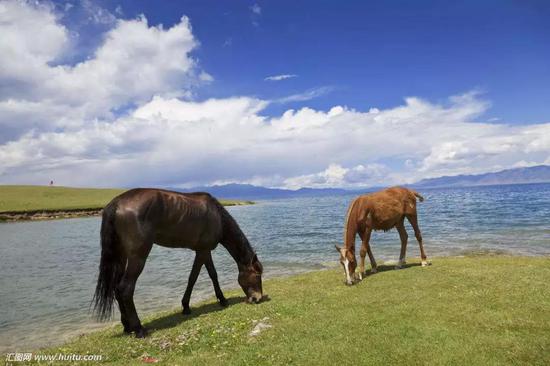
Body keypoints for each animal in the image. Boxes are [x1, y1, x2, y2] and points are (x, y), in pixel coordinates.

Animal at [93, 189, 266, 338]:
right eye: (257, 275)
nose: (257, 298)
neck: (217, 216)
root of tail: (116, 204)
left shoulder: (204, 251)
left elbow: (212, 275)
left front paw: (220, 300)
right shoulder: (202, 251)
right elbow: (194, 278)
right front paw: (187, 305)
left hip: (121, 255)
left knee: (116, 288)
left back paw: (127, 326)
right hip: (138, 256)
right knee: (125, 288)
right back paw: (139, 329)